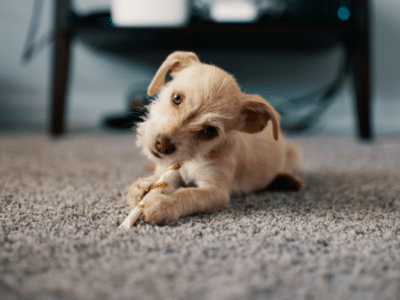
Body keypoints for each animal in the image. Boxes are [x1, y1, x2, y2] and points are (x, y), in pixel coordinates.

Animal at [126, 51, 302, 225]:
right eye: (176, 98)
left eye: (210, 131)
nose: (162, 145)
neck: (194, 159)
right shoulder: (172, 172)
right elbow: (158, 180)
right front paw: (143, 187)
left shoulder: (215, 191)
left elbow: (188, 195)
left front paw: (162, 204)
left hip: (293, 153)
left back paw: (288, 180)